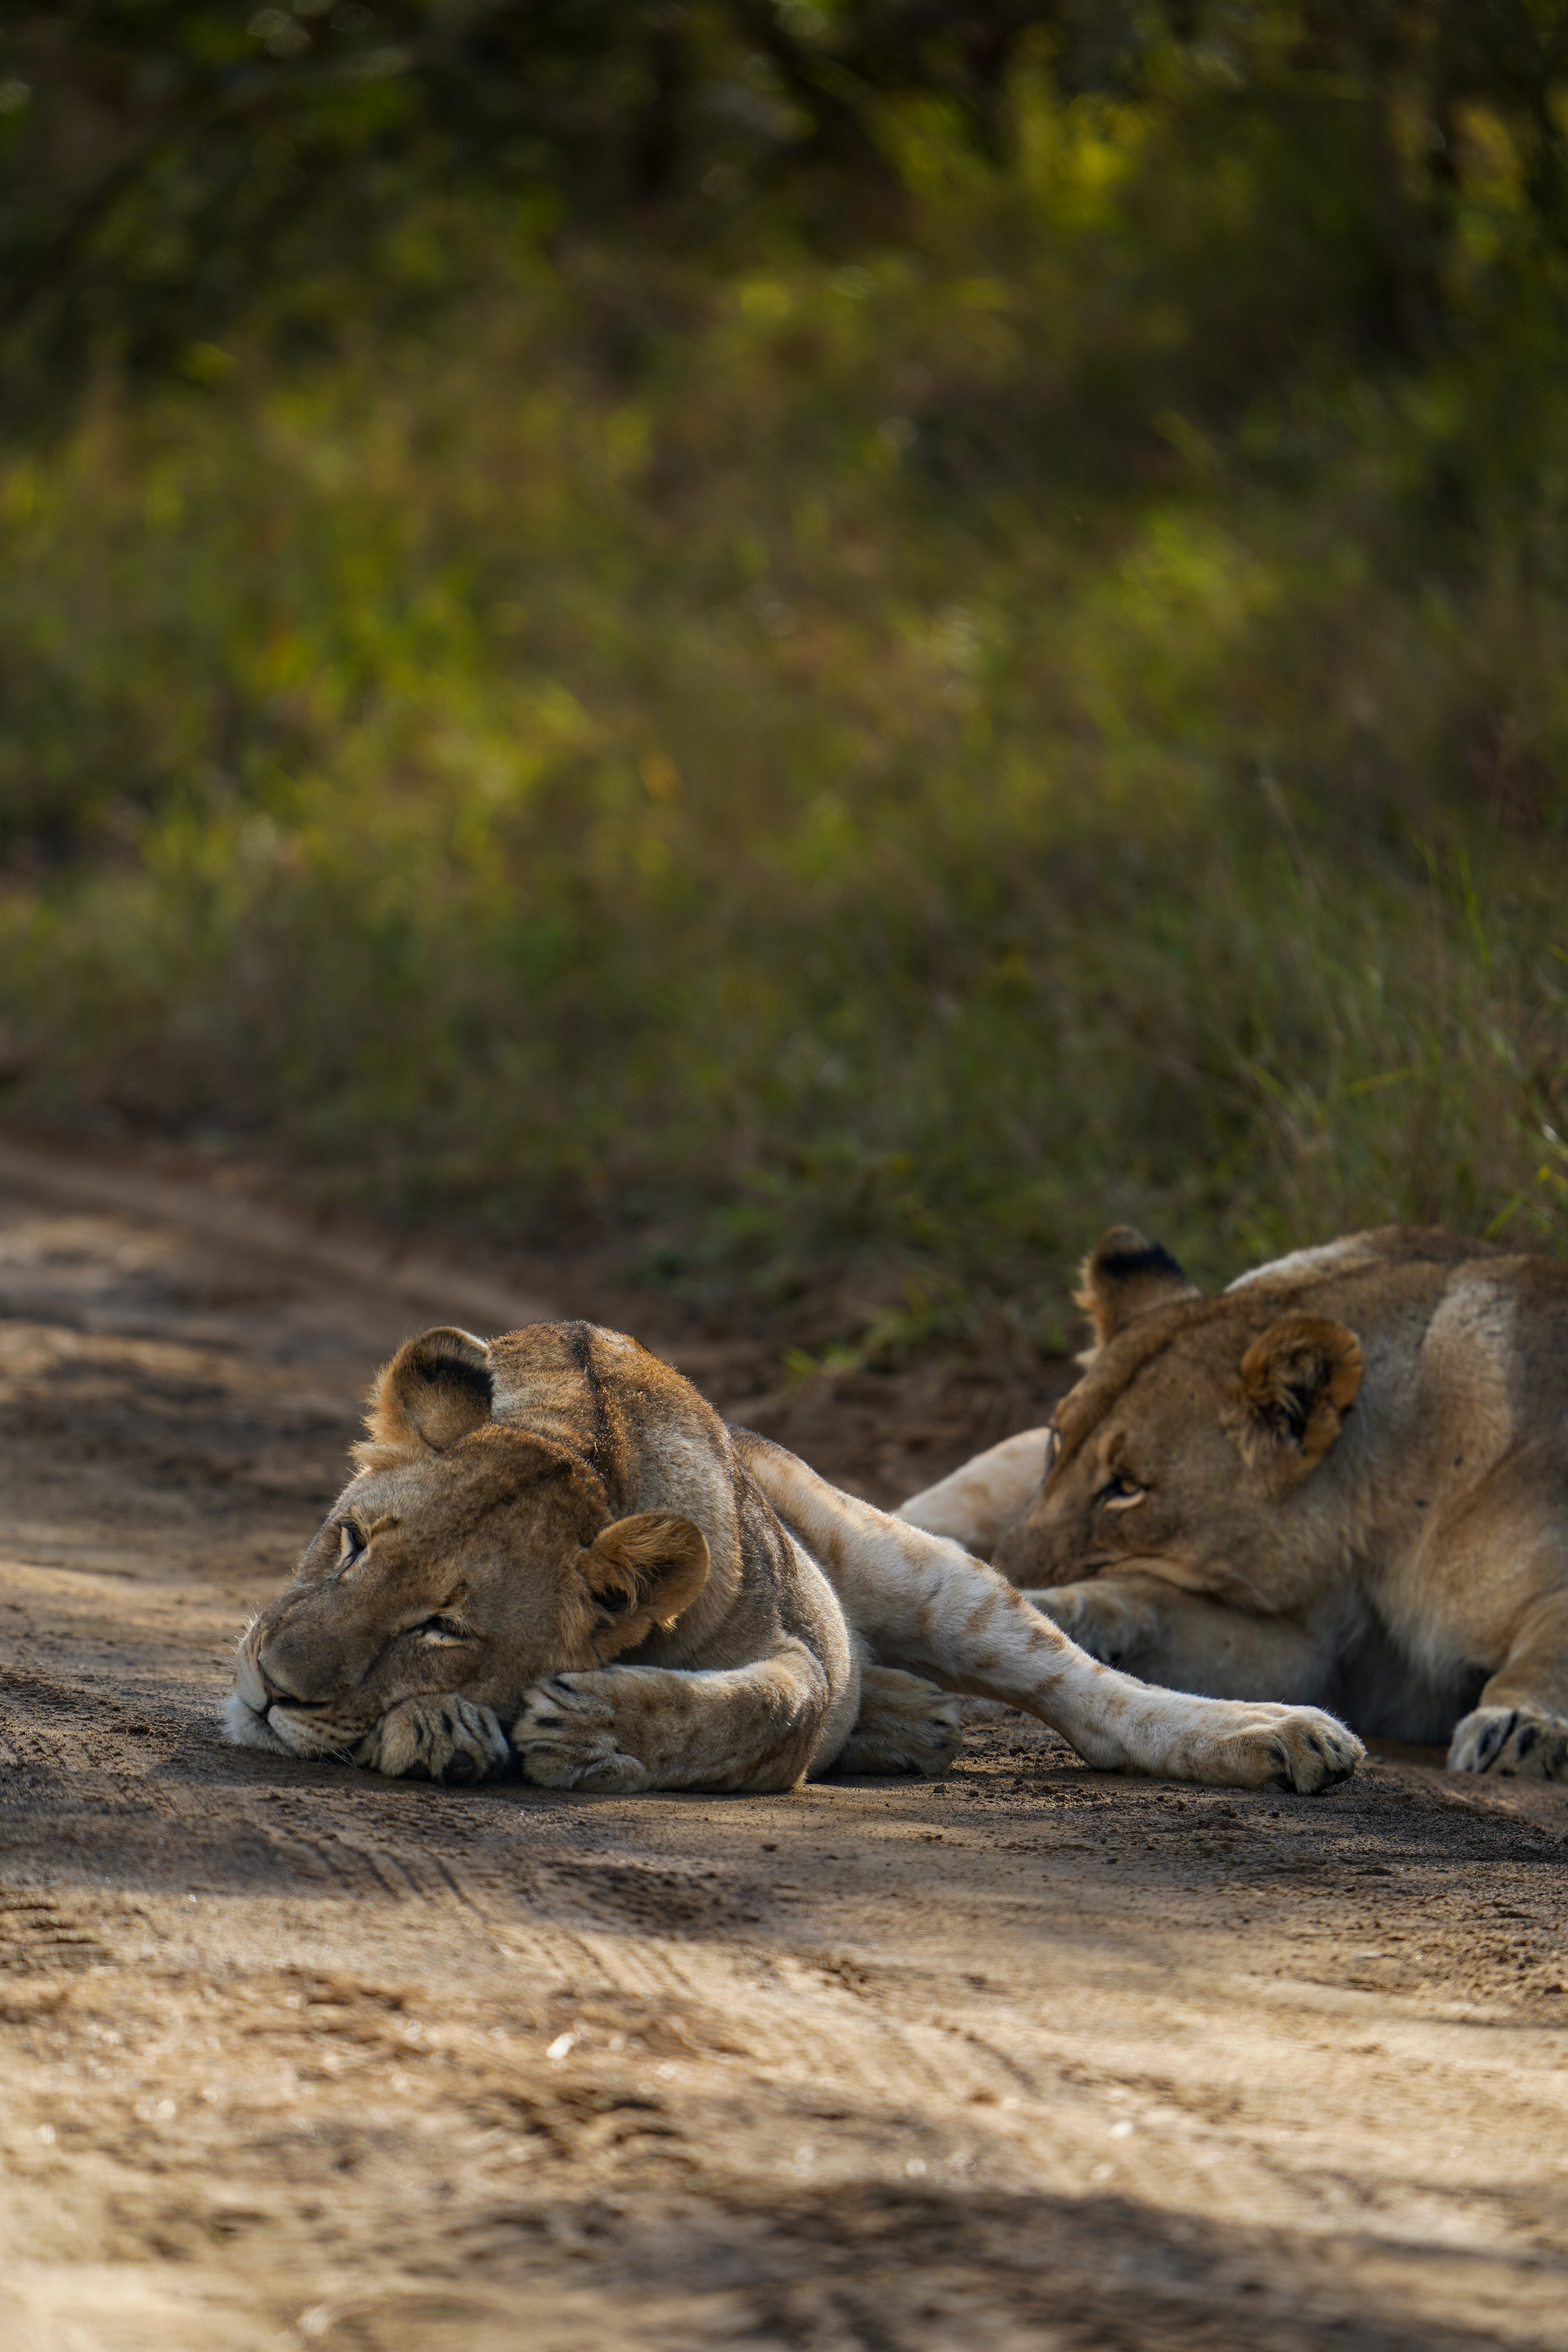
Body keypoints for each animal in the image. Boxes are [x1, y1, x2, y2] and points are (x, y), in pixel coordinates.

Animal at [224, 1320, 1362, 1794]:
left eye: (442, 1626)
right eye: (350, 1541)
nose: (268, 1688)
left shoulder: (791, 1639)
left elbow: (770, 1707)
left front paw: (597, 1730)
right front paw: (443, 1728)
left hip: (908, 1565)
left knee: (1094, 1699)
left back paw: (1280, 1735)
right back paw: (909, 1721)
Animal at [898, 1225, 1568, 1781]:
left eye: (1127, 1487)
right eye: (1059, 1441)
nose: (1010, 1566)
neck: (1373, 1521)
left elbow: (1549, 1647)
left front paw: (1522, 1727)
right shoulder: (1312, 1647)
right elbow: (1149, 1602)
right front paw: (1052, 1606)